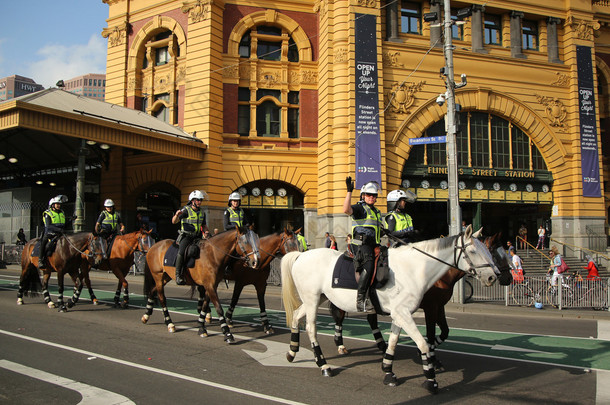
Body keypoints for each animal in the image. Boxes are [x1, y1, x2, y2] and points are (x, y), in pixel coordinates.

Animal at [280, 223, 498, 392]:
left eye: (489, 250)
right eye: (473, 251)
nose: (493, 277)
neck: (414, 269)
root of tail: (300, 255)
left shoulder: (401, 314)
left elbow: (394, 341)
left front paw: (388, 371)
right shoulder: (413, 312)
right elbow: (424, 343)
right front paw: (430, 378)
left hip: (317, 299)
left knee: (297, 316)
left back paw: (292, 351)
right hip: (312, 300)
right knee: (311, 328)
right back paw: (323, 364)